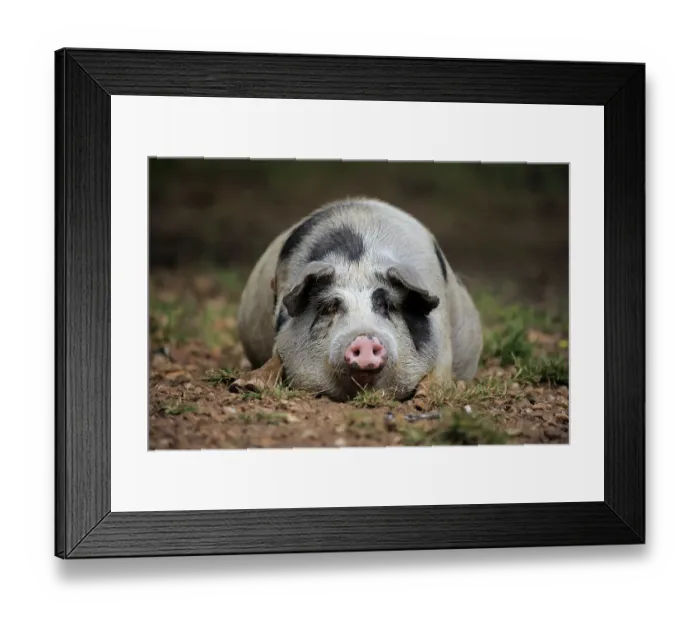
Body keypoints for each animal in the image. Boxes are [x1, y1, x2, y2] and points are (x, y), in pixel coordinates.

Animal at [232, 197, 482, 404]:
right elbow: (277, 357)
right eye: (330, 307)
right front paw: (244, 386)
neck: (358, 261)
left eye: (386, 305)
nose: (364, 338)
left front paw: (422, 400)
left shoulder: (442, 333)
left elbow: (440, 369)